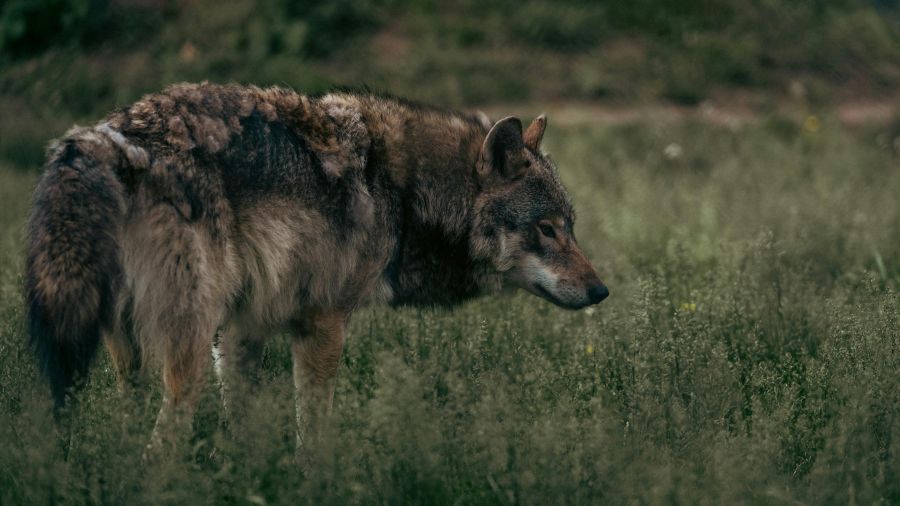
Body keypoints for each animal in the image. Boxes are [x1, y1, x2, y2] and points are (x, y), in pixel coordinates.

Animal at [25, 82, 608, 451]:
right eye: (547, 229)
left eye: (571, 226)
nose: (601, 291)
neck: (403, 191)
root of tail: (107, 138)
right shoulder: (322, 325)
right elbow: (315, 437)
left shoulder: (240, 331)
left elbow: (242, 432)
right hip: (184, 352)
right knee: (160, 445)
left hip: (128, 354)